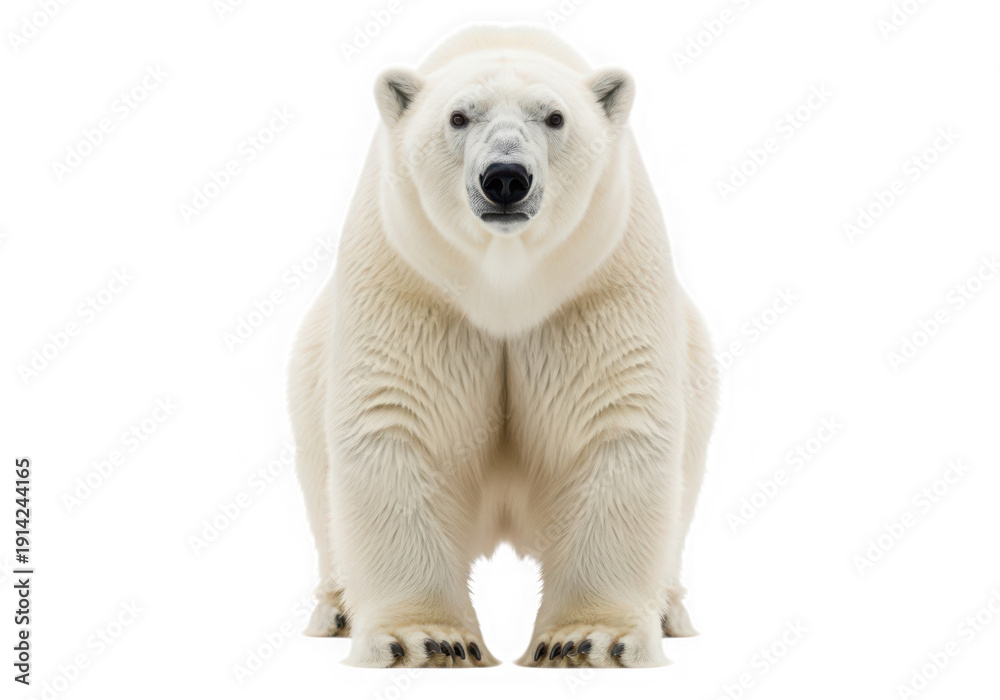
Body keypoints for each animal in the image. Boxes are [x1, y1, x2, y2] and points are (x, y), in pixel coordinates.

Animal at [288, 23, 716, 668]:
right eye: (458, 116)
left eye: (556, 117)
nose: (506, 178)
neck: (505, 284)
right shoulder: (411, 280)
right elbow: (399, 423)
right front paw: (428, 639)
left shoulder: (599, 282)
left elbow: (612, 423)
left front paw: (587, 639)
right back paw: (337, 609)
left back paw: (667, 610)